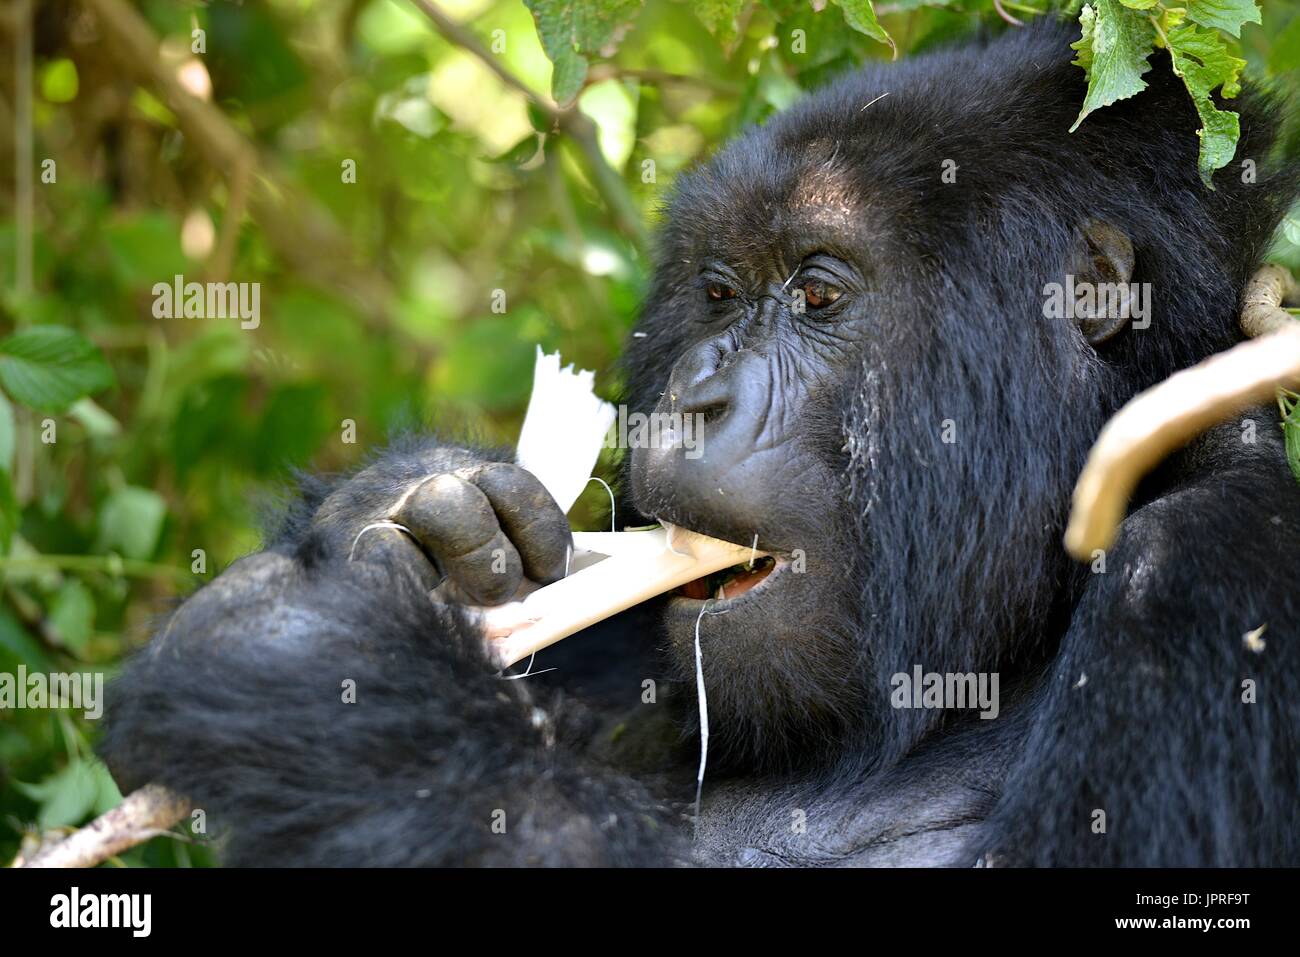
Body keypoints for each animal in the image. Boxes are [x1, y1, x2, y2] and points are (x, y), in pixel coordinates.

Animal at [98, 22, 1300, 863]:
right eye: (718, 294)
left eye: (817, 294)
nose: (690, 401)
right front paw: (424, 518)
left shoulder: (1211, 566)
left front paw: (312, 667)